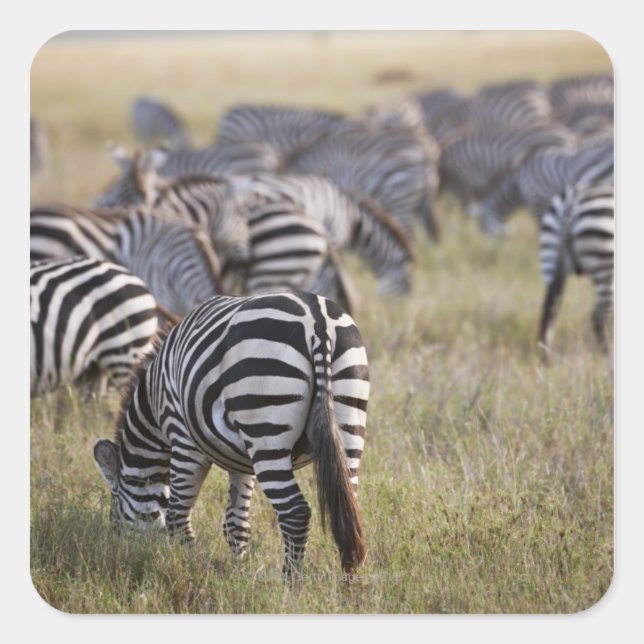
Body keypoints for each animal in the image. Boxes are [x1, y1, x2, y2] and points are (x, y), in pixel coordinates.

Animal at [93, 291, 369, 578]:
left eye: (115, 518)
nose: (125, 553)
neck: (152, 402)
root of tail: (317, 321)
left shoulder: (183, 438)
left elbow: (176, 515)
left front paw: (189, 566)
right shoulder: (242, 462)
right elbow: (236, 523)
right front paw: (239, 571)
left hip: (266, 430)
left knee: (296, 513)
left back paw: (290, 583)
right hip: (349, 422)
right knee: (349, 511)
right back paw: (348, 584)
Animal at [538, 183, 614, 355]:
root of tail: (571, 204)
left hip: (550, 255)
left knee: (549, 313)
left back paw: (546, 360)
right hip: (606, 266)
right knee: (599, 317)